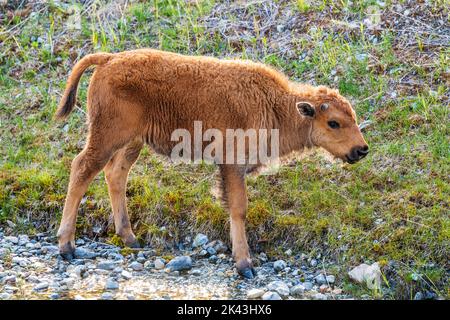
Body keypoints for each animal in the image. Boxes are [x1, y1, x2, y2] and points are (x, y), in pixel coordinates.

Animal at [55, 48, 370, 278]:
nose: (361, 150)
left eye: (353, 117)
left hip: (132, 142)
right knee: (82, 169)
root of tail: (109, 59)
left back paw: (130, 238)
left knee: (116, 174)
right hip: (107, 137)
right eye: (333, 122)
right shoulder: (233, 164)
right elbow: (239, 208)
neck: (277, 106)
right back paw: (67, 246)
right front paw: (244, 264)